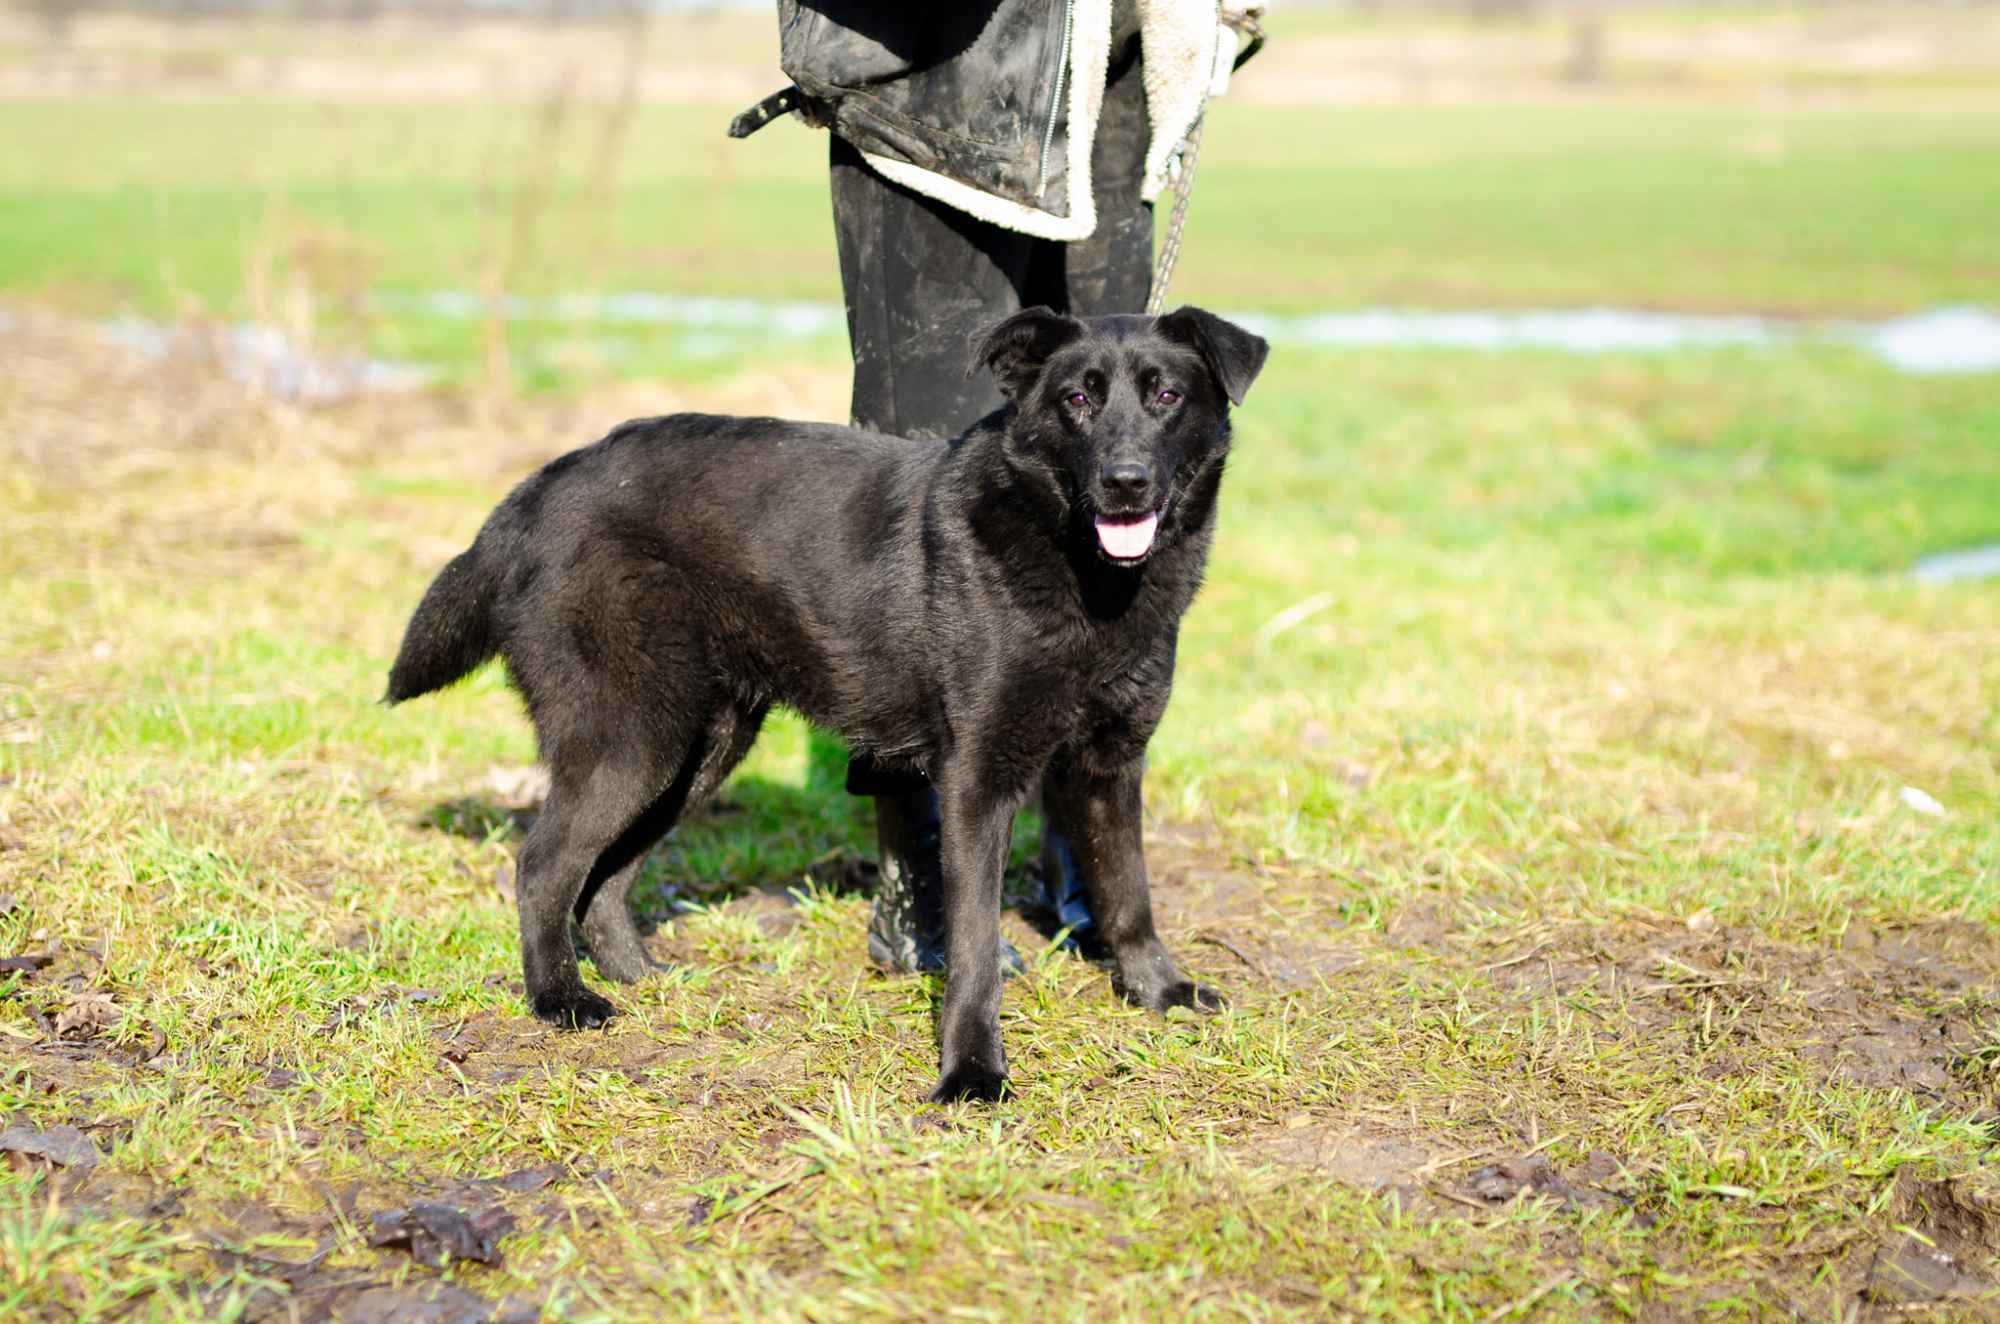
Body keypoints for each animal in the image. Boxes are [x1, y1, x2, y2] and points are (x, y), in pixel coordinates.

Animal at [388, 306, 1264, 1104]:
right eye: (1078, 399)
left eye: (1166, 395)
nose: (1125, 484)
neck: (1078, 566)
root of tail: (534, 490)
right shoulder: (978, 780)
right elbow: (976, 947)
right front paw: (972, 1072)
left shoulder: (1112, 765)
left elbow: (1129, 892)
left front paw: (1158, 991)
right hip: (630, 741)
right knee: (543, 865)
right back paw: (560, 1000)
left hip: (696, 750)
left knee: (605, 875)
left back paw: (642, 975)